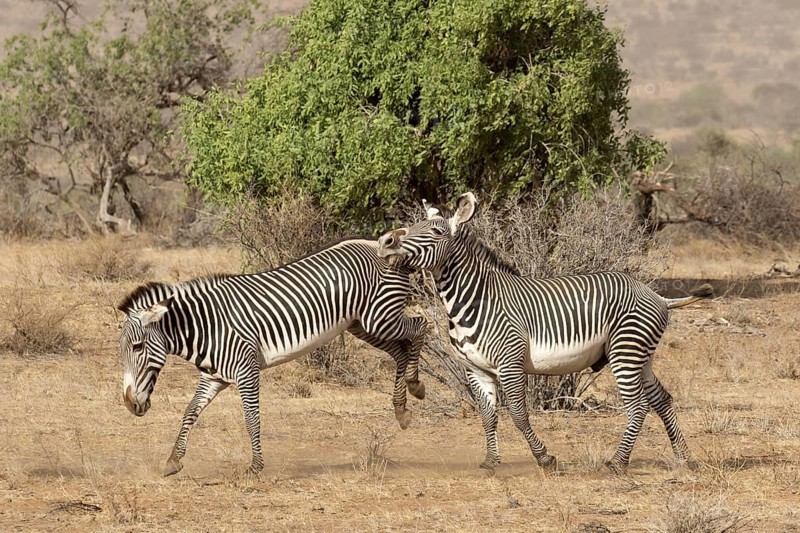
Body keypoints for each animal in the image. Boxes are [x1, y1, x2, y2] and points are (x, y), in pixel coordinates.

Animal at [118, 238, 426, 476]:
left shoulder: (247, 370)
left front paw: (255, 466)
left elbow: (251, 417)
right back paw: (401, 410)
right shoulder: (214, 377)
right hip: (362, 324)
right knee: (400, 350)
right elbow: (190, 411)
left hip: (380, 317)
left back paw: (415, 385)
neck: (207, 326)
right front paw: (173, 460)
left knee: (421, 325)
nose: (130, 405)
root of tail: (381, 245)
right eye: (123, 349)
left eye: (138, 347)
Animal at [377, 192, 712, 474]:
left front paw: (544, 458)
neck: (475, 298)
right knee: (662, 400)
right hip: (642, 355)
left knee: (639, 406)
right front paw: (490, 461)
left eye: (435, 232)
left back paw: (618, 463)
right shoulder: (475, 369)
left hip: (626, 352)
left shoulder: (510, 363)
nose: (385, 240)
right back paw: (684, 458)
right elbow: (488, 415)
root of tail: (657, 295)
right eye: (412, 225)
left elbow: (517, 413)